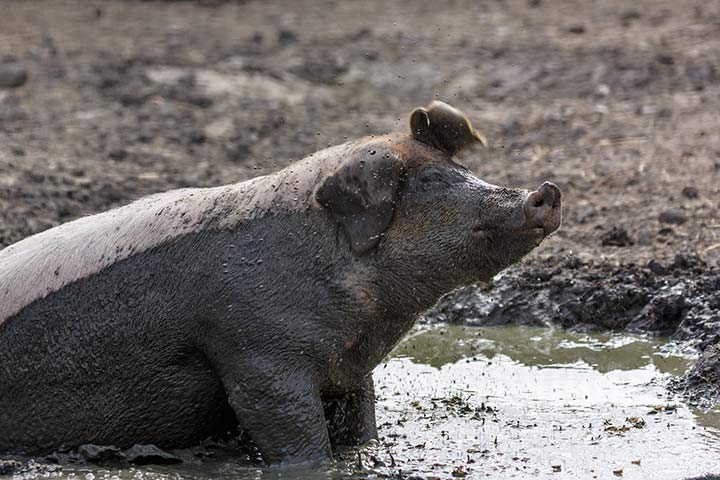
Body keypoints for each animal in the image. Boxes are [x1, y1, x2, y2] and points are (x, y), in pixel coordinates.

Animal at [0, 102, 561, 466]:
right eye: (428, 182)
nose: (546, 190)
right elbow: (285, 426)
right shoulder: (255, 353)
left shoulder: (348, 370)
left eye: (460, 167)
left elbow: (361, 423)